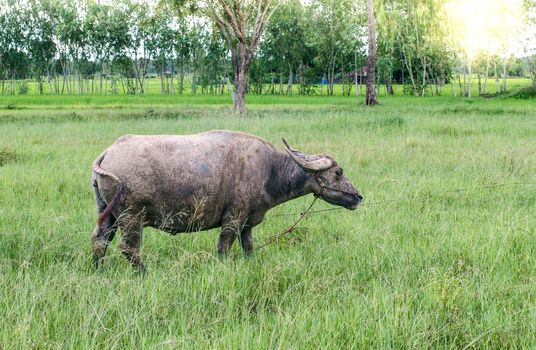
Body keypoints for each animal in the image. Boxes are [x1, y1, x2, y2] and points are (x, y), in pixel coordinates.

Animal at [91, 130, 364, 270]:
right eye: (338, 172)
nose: (358, 197)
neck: (269, 169)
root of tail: (108, 152)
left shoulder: (248, 222)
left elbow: (248, 246)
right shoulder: (233, 218)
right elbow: (224, 247)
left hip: (108, 214)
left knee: (99, 240)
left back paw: (97, 268)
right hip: (131, 217)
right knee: (129, 247)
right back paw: (144, 272)